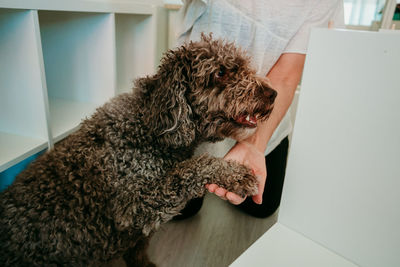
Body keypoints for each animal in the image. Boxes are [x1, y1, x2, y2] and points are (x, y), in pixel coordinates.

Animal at [0, 34, 276, 266]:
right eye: (220, 72)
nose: (273, 93)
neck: (149, 127)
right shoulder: (136, 204)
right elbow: (190, 168)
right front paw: (234, 174)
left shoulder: (138, 226)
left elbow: (139, 248)